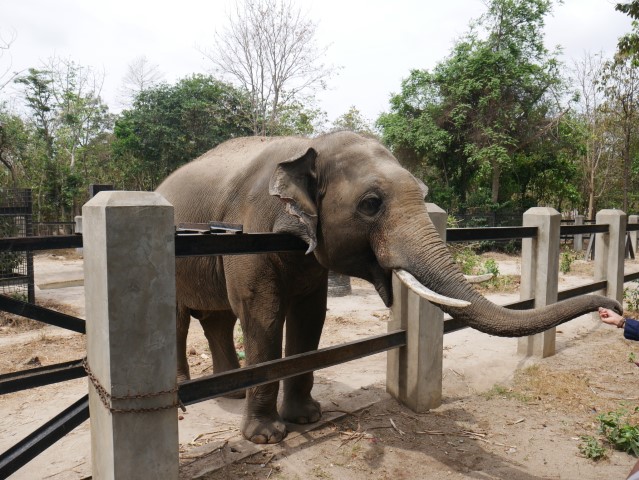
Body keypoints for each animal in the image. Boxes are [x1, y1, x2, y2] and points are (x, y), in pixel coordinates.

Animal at [158, 130, 624, 442]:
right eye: (370, 204)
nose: (617, 309)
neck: (310, 145)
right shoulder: (252, 231)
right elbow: (262, 314)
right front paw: (268, 437)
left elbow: (311, 317)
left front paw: (307, 418)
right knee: (181, 319)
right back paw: (186, 392)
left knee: (216, 318)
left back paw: (231, 392)